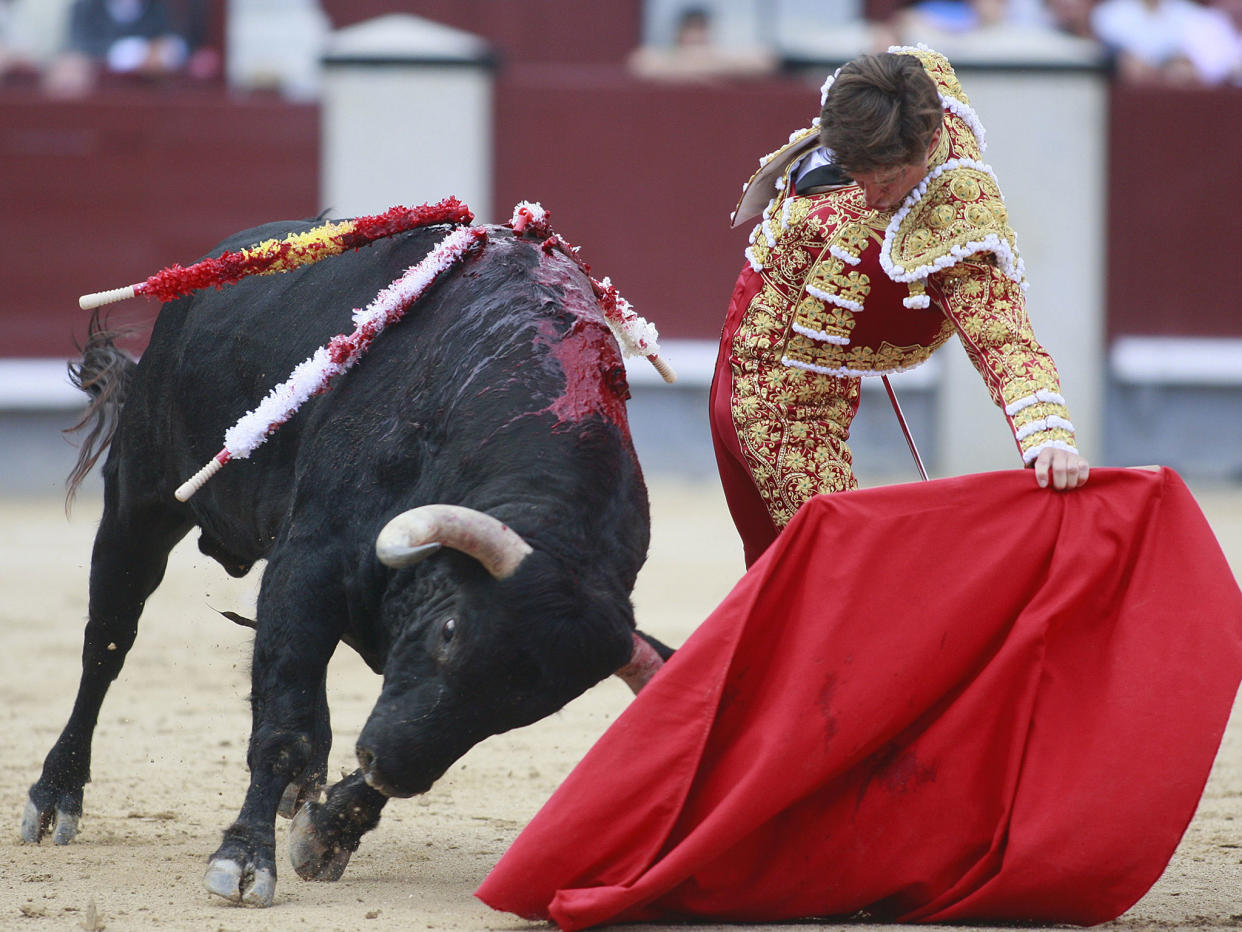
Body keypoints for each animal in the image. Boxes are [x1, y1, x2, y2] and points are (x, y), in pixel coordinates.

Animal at [19, 218, 675, 904]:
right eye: (449, 630)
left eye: (531, 706)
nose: (389, 762)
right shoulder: (310, 560)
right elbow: (282, 727)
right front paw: (243, 858)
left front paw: (329, 830)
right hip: (140, 498)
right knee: (108, 643)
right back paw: (56, 794)